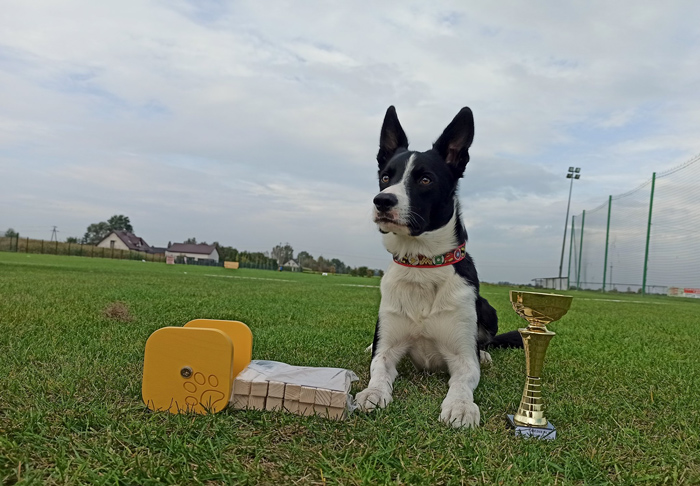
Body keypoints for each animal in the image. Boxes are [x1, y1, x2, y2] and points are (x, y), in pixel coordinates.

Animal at [355, 106, 522, 428]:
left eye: (425, 180)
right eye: (385, 176)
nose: (382, 201)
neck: (421, 266)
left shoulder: (463, 358)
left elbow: (462, 382)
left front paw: (460, 406)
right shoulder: (388, 349)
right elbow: (378, 370)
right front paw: (372, 392)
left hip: (487, 309)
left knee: (485, 343)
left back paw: (485, 355)